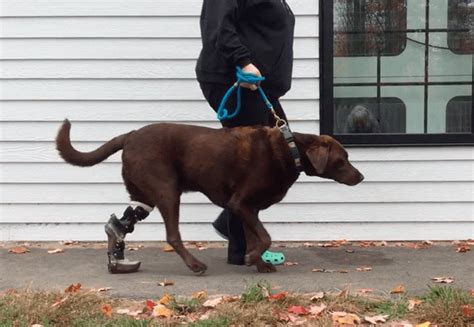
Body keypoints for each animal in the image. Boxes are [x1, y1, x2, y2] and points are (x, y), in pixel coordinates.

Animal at [57, 120, 364, 274]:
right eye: (343, 159)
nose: (361, 177)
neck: (291, 150)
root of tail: (129, 136)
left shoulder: (246, 208)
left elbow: (255, 237)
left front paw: (259, 263)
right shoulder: (241, 203)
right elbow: (265, 237)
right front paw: (253, 259)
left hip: (144, 194)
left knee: (120, 223)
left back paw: (117, 261)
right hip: (167, 189)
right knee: (172, 235)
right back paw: (195, 265)